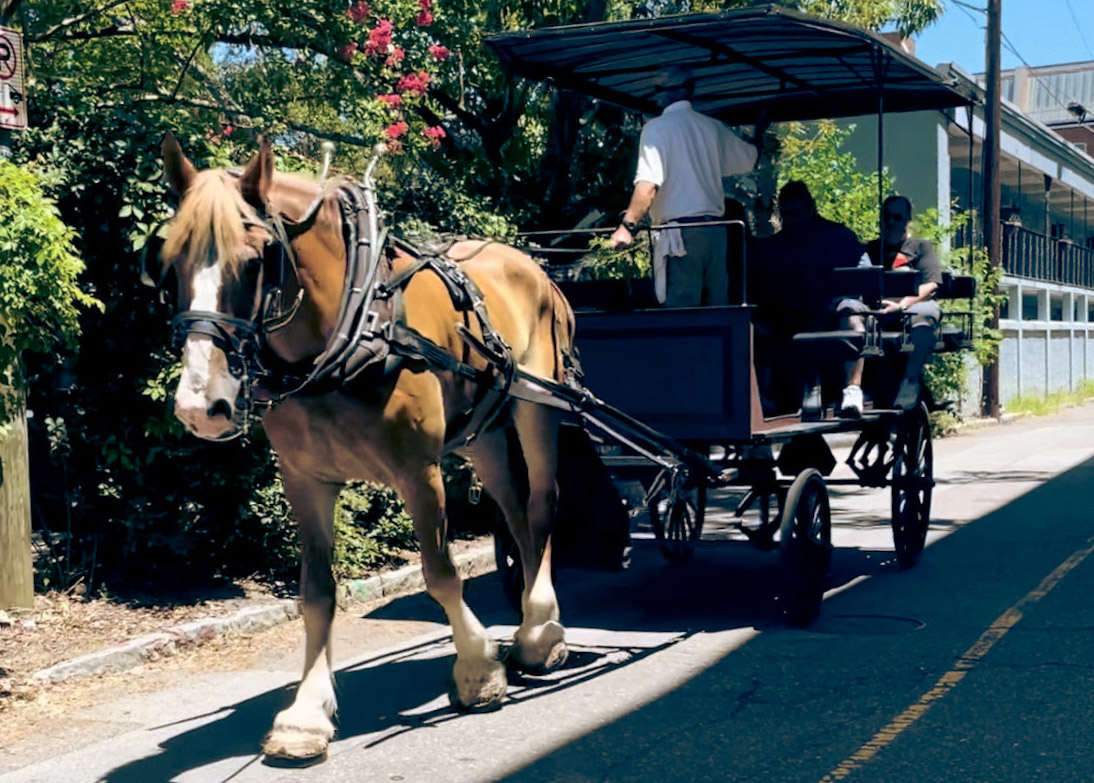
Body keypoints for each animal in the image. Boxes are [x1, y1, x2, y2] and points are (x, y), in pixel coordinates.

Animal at [157, 134, 577, 756]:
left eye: (257, 259)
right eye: (168, 263)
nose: (199, 406)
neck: (352, 327)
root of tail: (530, 263)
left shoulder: (417, 470)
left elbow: (439, 572)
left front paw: (477, 669)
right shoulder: (304, 480)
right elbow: (315, 592)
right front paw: (307, 711)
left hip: (537, 405)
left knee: (543, 503)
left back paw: (540, 628)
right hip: (482, 433)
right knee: (515, 513)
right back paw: (528, 622)